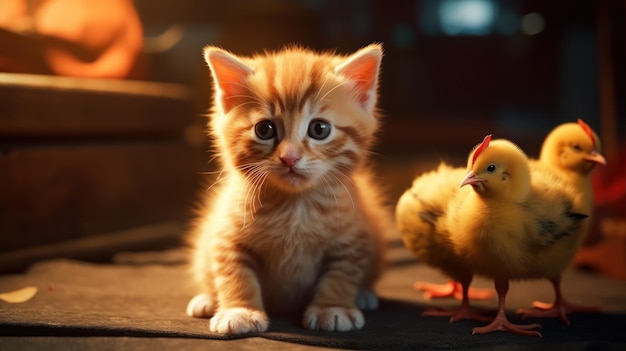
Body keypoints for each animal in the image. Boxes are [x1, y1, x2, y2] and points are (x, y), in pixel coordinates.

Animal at [184, 43, 394, 336]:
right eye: (264, 129)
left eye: (319, 129)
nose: (290, 158)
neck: (295, 206)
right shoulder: (226, 235)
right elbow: (234, 272)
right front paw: (239, 311)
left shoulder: (353, 238)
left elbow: (341, 274)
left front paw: (333, 308)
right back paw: (207, 299)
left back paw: (364, 295)